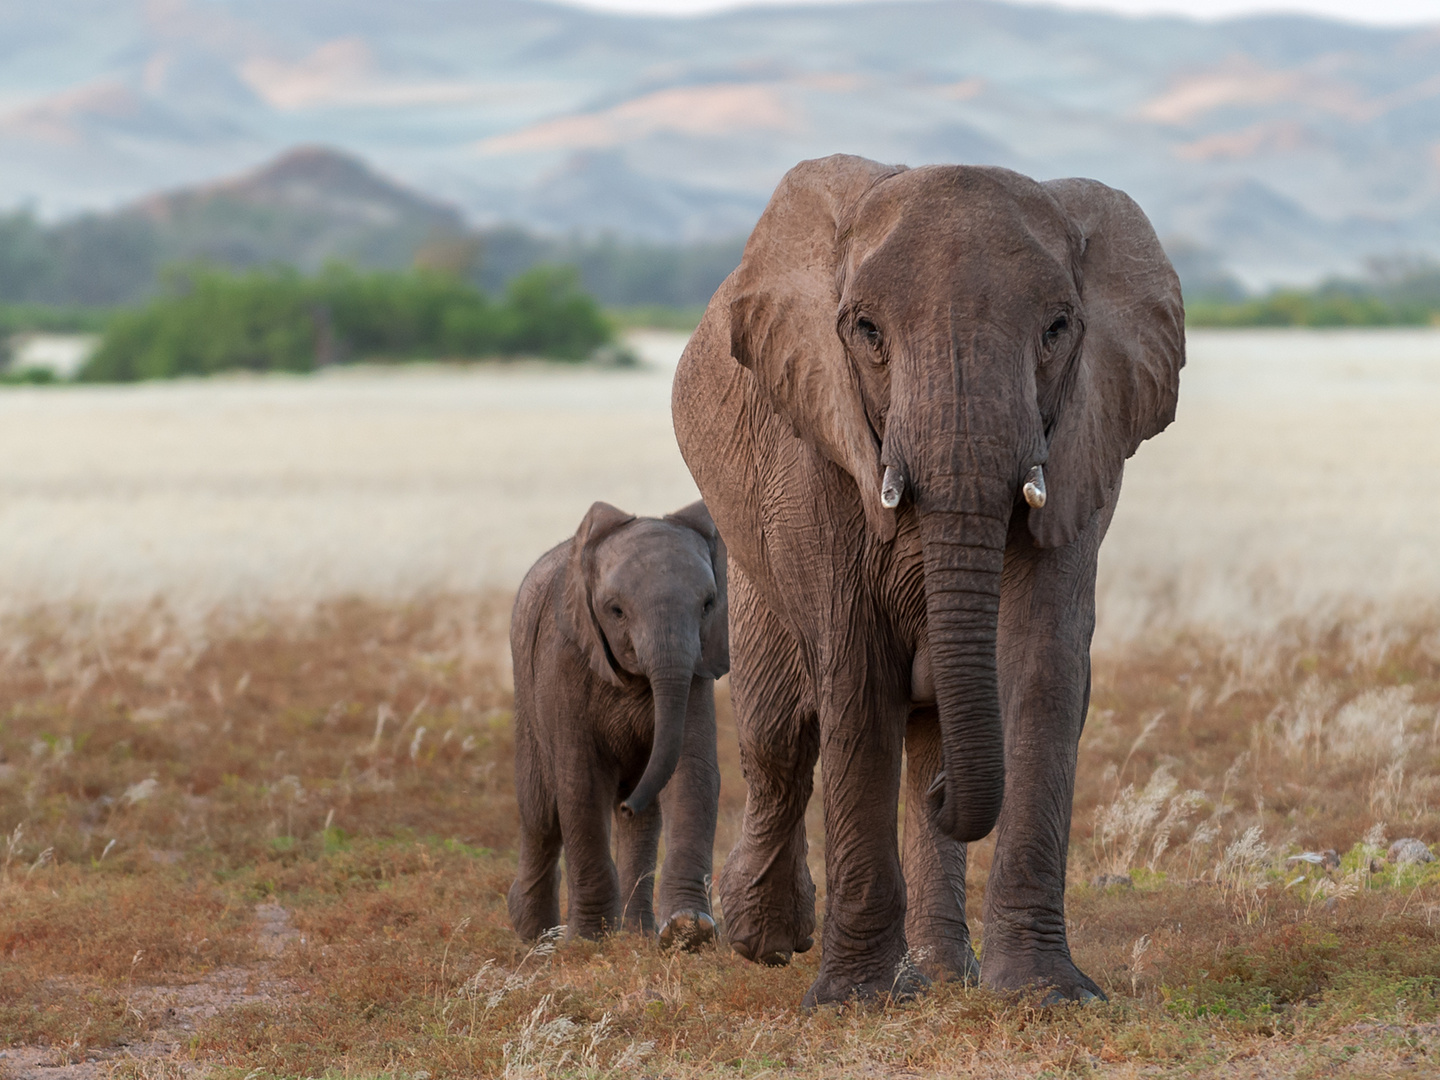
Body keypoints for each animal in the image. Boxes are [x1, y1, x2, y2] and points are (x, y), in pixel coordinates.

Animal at [509, 498, 731, 944]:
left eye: (707, 605)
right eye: (616, 611)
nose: (627, 806)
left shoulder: (696, 672)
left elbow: (691, 775)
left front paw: (689, 931)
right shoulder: (564, 660)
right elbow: (581, 784)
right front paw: (589, 942)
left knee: (643, 822)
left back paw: (637, 935)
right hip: (525, 694)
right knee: (540, 814)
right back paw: (535, 937)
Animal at [671, 156, 1180, 1013]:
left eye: (1058, 329)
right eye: (866, 331)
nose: (953, 795)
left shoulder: (1086, 442)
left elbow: (1043, 669)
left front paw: (1045, 995)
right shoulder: (820, 444)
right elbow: (853, 678)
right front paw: (850, 1001)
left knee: (924, 731)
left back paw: (938, 974)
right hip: (747, 557)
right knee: (778, 738)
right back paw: (761, 940)